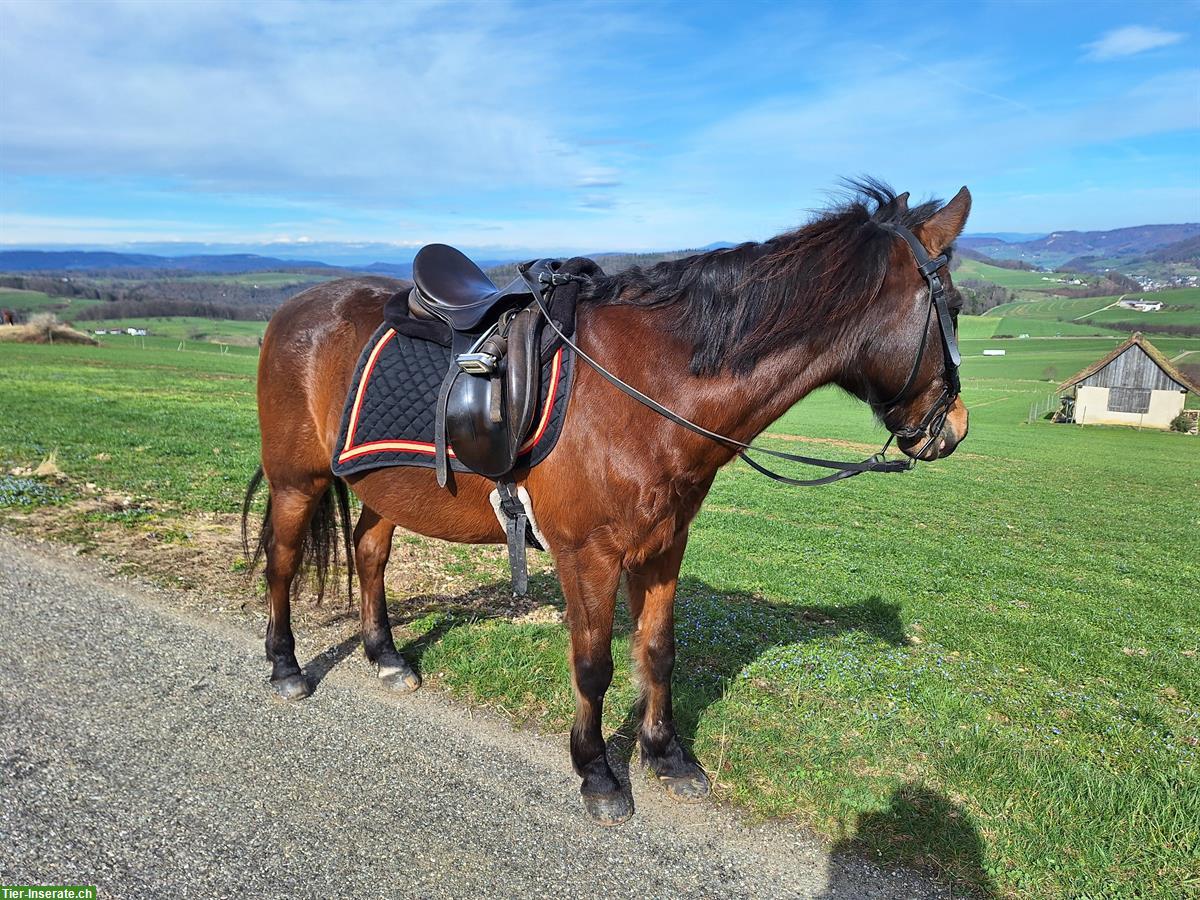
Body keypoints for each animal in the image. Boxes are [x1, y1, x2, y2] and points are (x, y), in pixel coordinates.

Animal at [246, 180, 974, 830]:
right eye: (957, 304)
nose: (955, 429)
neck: (649, 386)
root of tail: (295, 309)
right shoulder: (587, 554)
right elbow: (593, 667)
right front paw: (596, 771)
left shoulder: (664, 545)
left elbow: (658, 650)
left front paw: (666, 756)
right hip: (297, 481)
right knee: (281, 561)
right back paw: (285, 666)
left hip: (385, 485)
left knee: (369, 554)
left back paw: (386, 657)